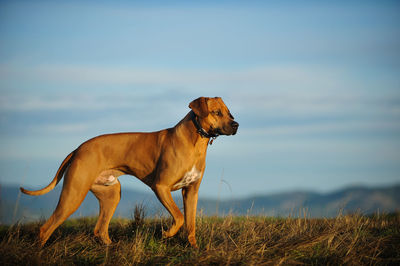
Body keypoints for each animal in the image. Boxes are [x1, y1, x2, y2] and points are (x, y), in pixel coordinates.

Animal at [21, 96, 238, 248]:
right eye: (217, 112)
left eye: (229, 113)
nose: (236, 125)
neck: (195, 141)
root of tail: (79, 148)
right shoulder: (161, 187)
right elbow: (179, 216)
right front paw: (168, 234)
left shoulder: (191, 191)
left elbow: (191, 222)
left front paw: (193, 247)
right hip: (73, 195)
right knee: (46, 228)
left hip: (111, 194)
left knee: (100, 230)